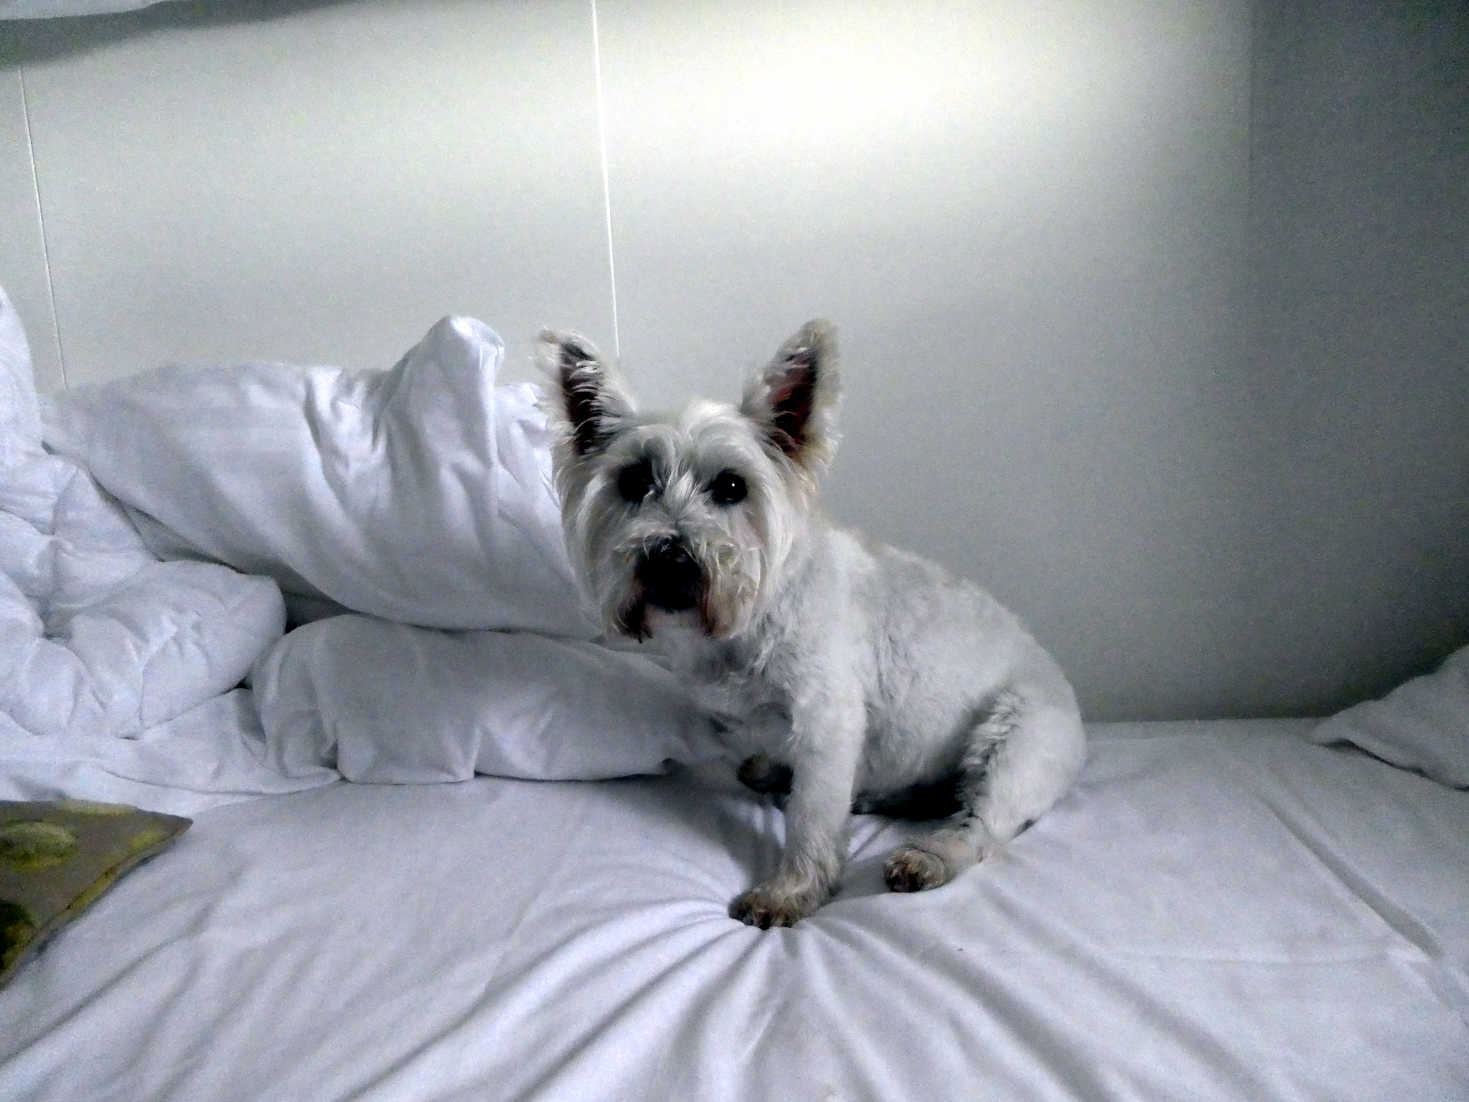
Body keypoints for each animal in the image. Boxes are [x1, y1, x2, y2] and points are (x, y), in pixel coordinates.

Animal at [537, 323, 1081, 928]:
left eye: (732, 487)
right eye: (633, 481)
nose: (668, 560)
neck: (750, 618)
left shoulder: (827, 723)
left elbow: (811, 819)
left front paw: (789, 890)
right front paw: (778, 778)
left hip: (1015, 742)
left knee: (979, 823)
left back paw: (927, 856)